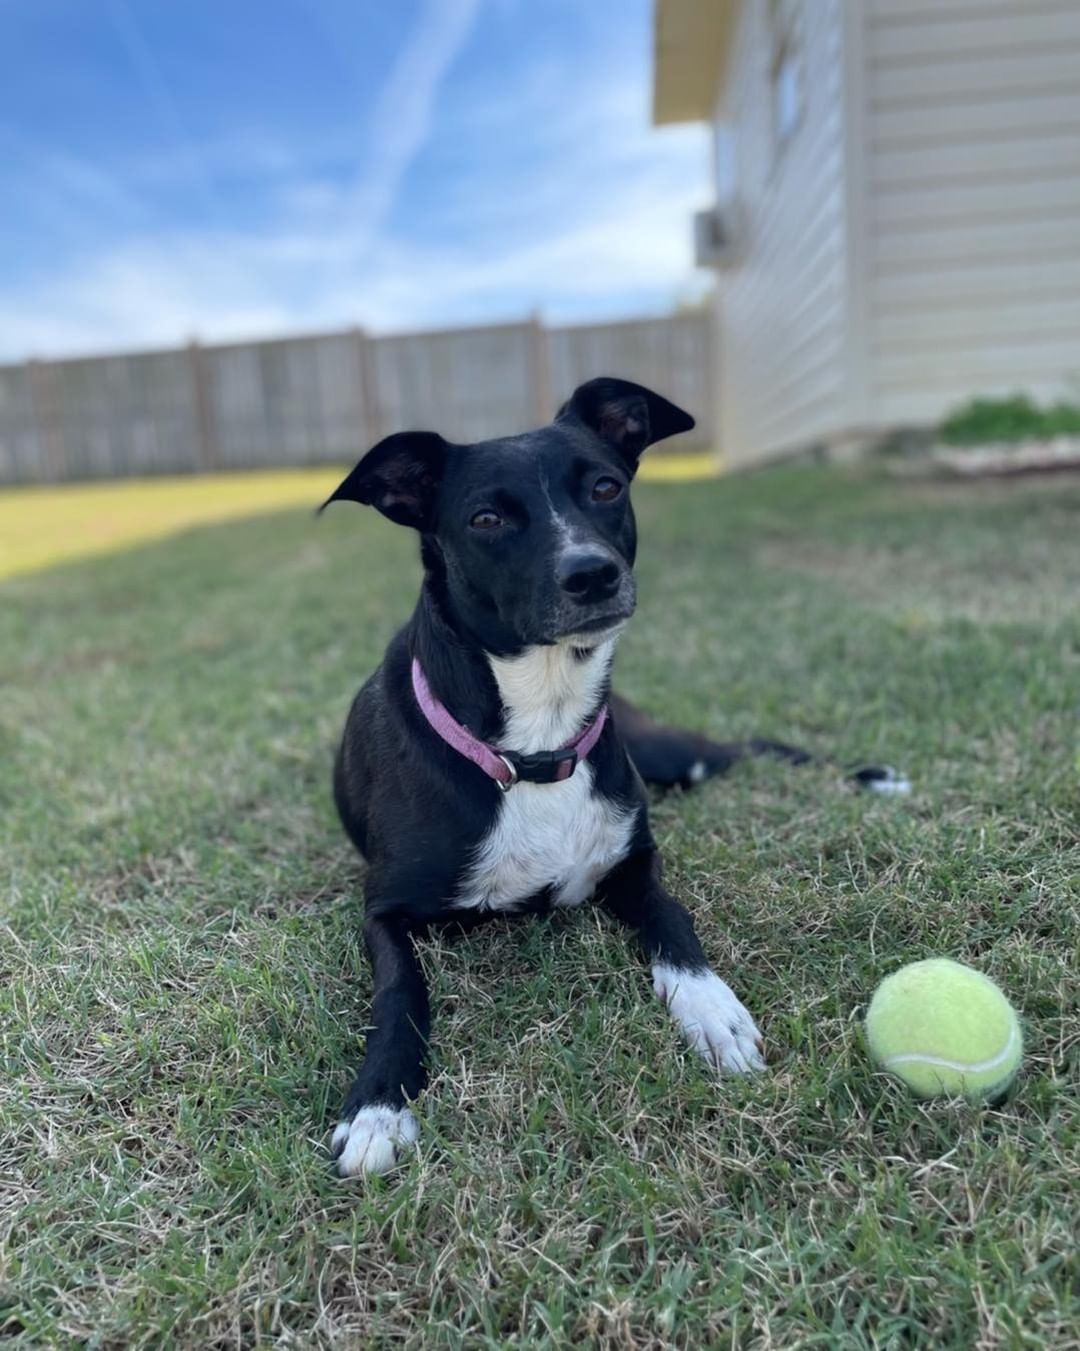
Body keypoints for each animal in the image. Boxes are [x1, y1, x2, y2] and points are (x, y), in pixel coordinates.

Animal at [321, 378, 902, 1172]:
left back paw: (875, 776)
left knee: (748, 747)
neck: (536, 743)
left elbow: (674, 920)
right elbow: (400, 991)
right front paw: (378, 1105)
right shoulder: (383, 909)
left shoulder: (634, 862)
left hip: (673, 757)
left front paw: (713, 1010)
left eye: (605, 487)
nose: (592, 572)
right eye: (486, 518)